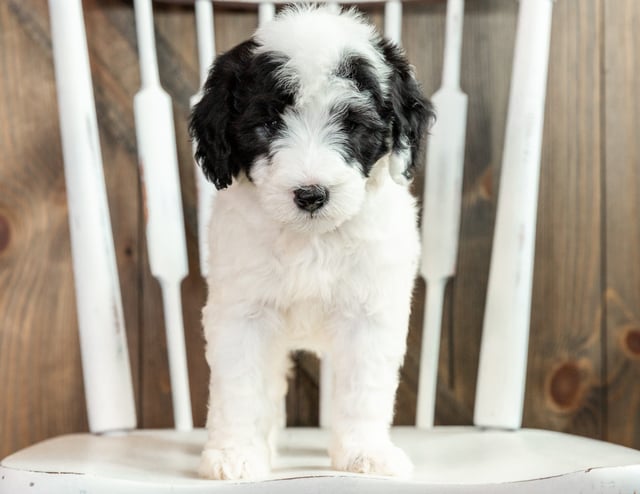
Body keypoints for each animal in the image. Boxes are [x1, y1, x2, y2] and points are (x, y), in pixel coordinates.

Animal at [188, 5, 432, 480]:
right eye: (267, 124)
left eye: (352, 124)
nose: (311, 194)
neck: (311, 238)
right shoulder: (242, 312)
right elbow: (241, 386)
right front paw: (235, 454)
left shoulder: (369, 313)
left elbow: (363, 388)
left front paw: (365, 452)